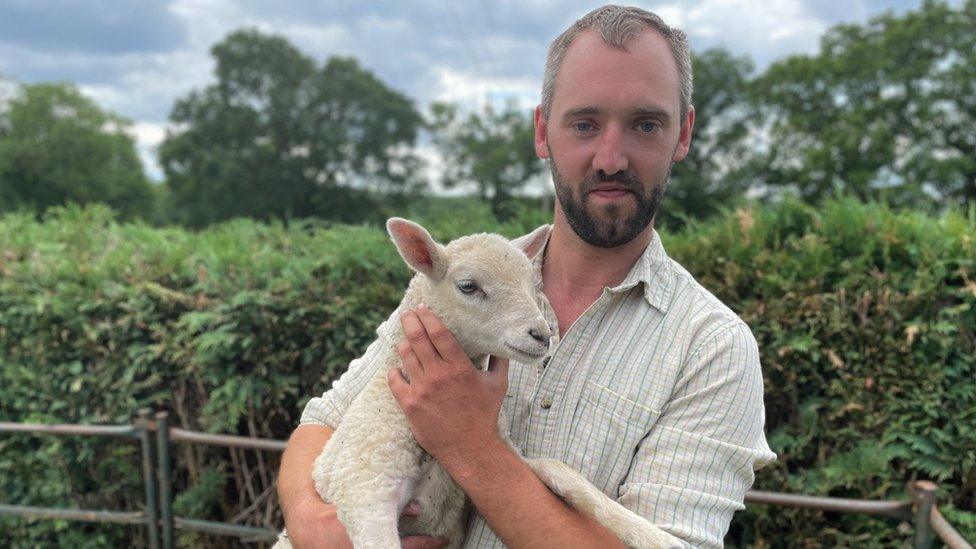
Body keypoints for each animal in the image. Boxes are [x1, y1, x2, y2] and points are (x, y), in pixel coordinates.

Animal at [276, 218, 680, 548]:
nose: (542, 335)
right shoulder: (365, 490)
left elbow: (560, 471)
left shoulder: (496, 458)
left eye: (532, 284)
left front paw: (653, 535)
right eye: (469, 286)